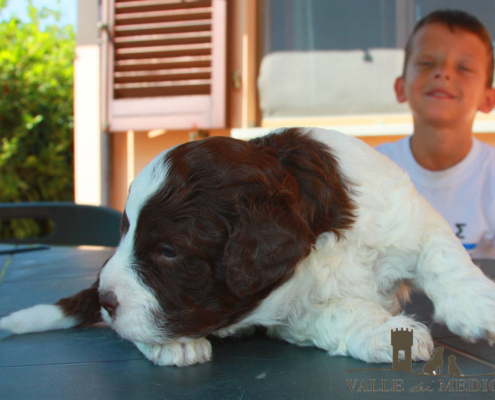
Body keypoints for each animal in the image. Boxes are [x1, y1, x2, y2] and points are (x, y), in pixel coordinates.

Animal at [0, 127, 495, 366]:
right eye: (125, 234)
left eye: (167, 252)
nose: (106, 300)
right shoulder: (292, 315)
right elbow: (344, 312)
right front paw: (387, 332)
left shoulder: (401, 216)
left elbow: (443, 254)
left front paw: (478, 305)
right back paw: (173, 346)